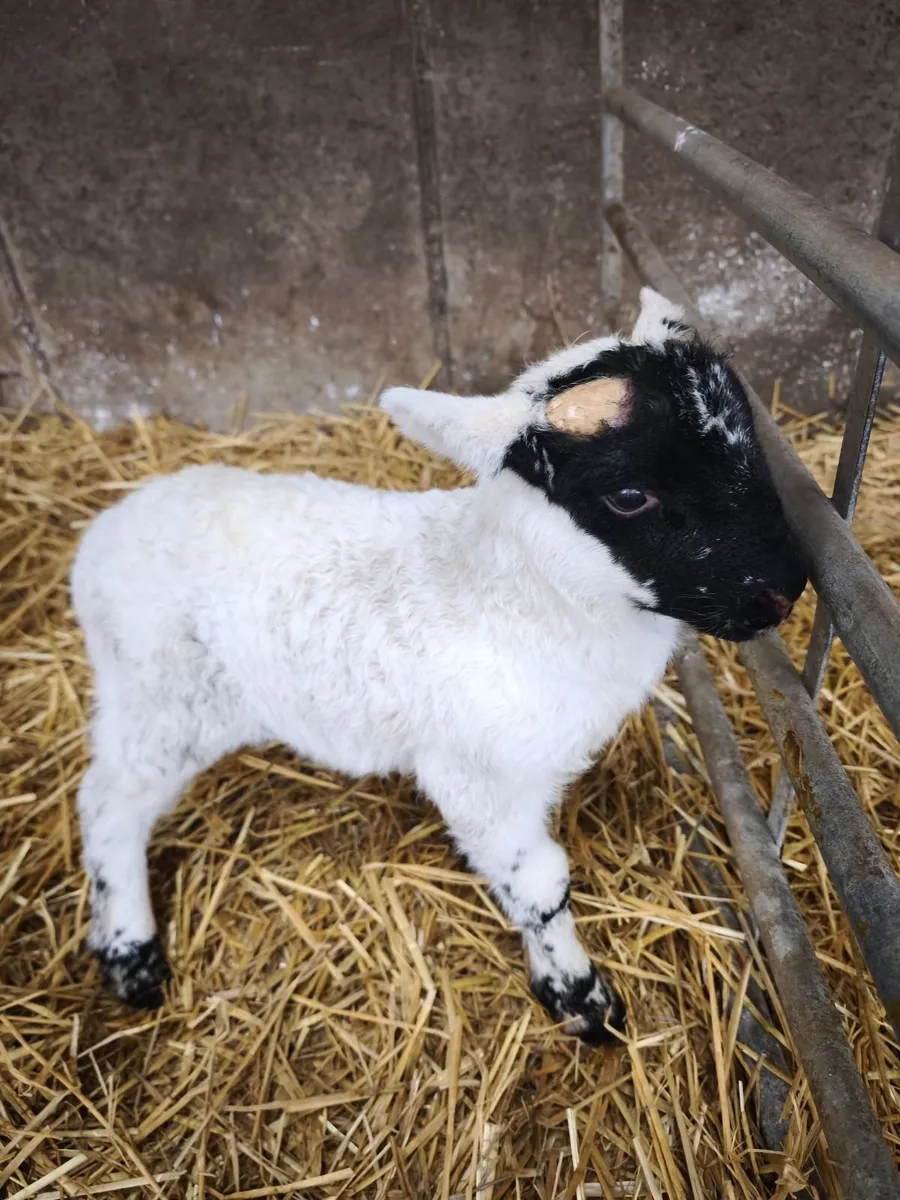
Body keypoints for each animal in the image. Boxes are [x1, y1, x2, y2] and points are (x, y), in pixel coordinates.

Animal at [70, 288, 806, 1040]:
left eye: (748, 436)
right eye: (629, 496)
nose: (786, 588)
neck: (517, 601)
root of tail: (105, 531)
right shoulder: (475, 774)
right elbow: (540, 888)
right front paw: (578, 996)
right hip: (162, 699)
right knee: (108, 802)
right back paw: (129, 953)